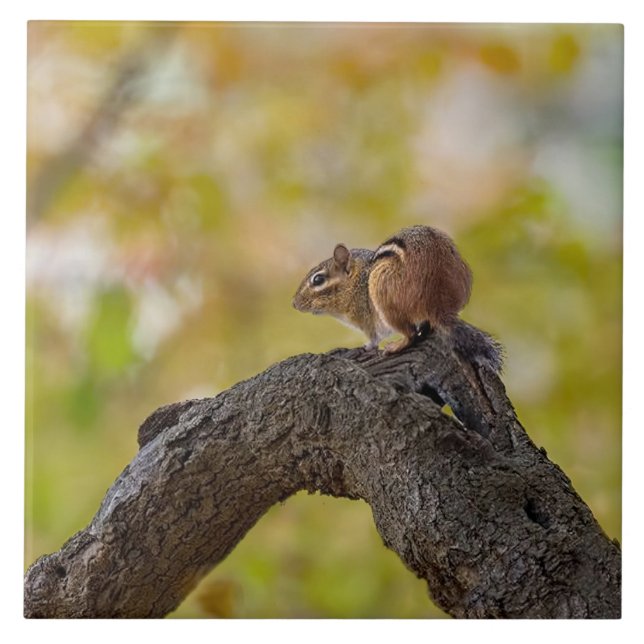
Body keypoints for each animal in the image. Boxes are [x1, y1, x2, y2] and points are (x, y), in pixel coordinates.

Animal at [292, 225, 503, 371]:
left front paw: (365, 347)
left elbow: (374, 338)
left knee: (411, 334)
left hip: (384, 297)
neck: (357, 281)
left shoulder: (367, 318)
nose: (294, 304)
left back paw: (395, 346)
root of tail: (438, 305)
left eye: (318, 279)